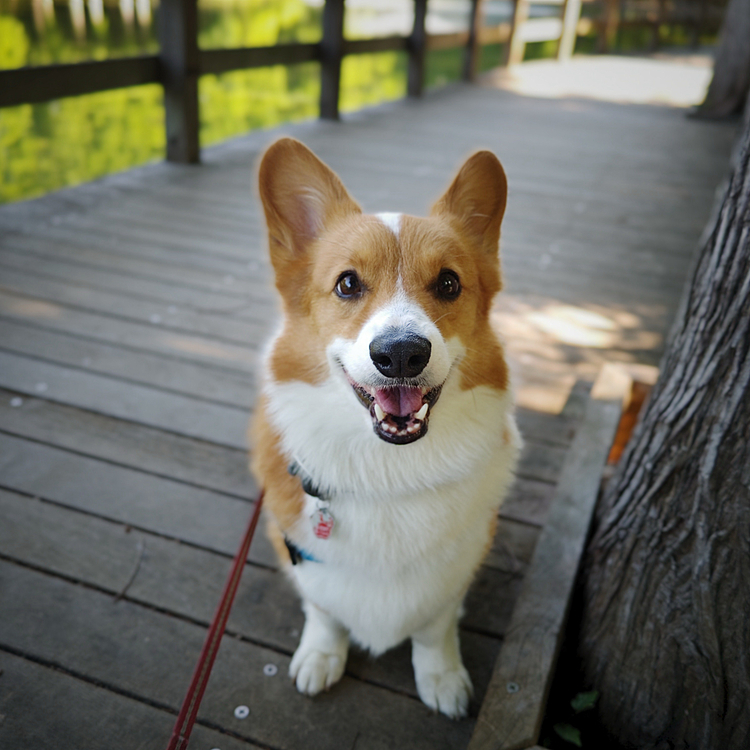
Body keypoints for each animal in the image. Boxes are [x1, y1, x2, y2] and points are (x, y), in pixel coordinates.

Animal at [253, 138, 524, 720]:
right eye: (347, 284)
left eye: (449, 283)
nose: (400, 354)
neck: (388, 472)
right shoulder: (303, 555)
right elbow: (324, 611)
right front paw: (320, 655)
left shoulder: (456, 569)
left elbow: (434, 628)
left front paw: (441, 677)